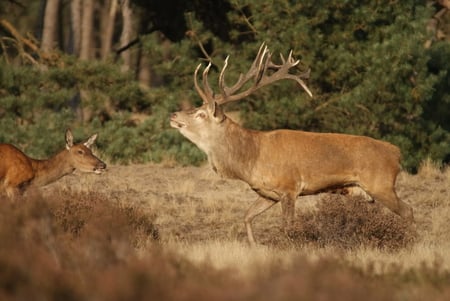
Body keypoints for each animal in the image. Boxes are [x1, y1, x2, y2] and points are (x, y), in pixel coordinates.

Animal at [171, 42, 414, 244]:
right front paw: (254, 245)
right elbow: (247, 216)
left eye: (201, 114)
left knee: (408, 210)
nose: (173, 115)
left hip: (381, 184)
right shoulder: (266, 193)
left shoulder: (289, 187)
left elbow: (288, 226)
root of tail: (396, 153)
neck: (251, 158)